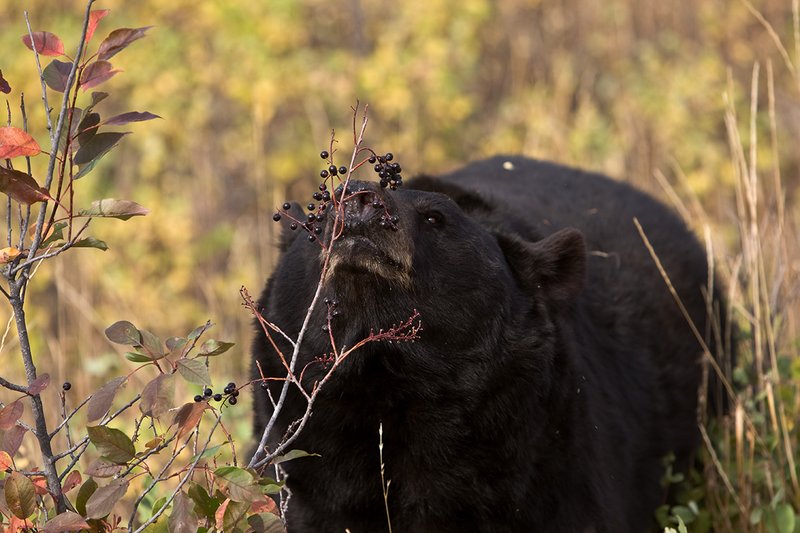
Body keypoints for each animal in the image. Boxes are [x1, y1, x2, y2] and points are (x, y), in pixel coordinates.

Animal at [251, 155, 726, 532]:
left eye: (435, 217)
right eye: (321, 210)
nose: (359, 199)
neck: (390, 384)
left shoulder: (535, 465)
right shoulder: (313, 471)